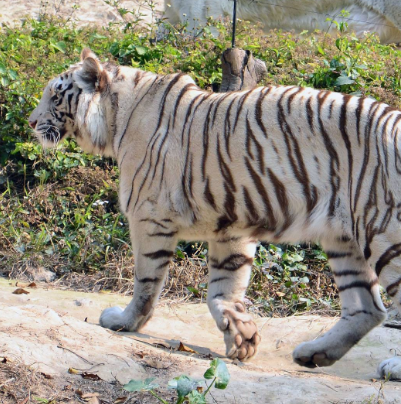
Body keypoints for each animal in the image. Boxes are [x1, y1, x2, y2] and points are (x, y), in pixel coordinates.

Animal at [29, 49, 400, 378]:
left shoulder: (149, 216)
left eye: (55, 95)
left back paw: (390, 368)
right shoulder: (232, 227)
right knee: (367, 308)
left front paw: (125, 322)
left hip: (383, 232)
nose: (32, 122)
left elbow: (146, 282)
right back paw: (314, 353)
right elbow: (224, 289)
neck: (116, 117)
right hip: (342, 238)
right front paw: (243, 338)